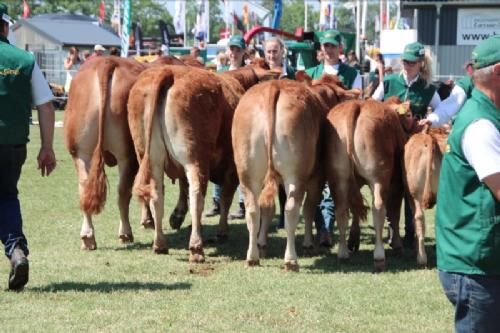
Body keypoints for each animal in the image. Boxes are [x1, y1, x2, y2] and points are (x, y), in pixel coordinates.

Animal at [129, 65, 278, 260]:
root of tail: (169, 71)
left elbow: (184, 188)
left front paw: (178, 217)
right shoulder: (232, 169)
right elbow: (225, 198)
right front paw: (222, 231)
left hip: (150, 158)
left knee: (156, 196)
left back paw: (160, 244)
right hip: (195, 158)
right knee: (196, 195)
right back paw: (196, 247)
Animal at [232, 74, 354, 270]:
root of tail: (273, 87)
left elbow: (268, 208)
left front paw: (262, 243)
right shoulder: (317, 177)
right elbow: (310, 208)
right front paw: (308, 244)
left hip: (247, 173)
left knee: (253, 209)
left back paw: (252, 257)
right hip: (295, 175)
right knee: (291, 209)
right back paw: (291, 260)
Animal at [324, 97, 410, 272]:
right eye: (409, 115)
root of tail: (357, 105)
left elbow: (356, 209)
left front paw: (353, 239)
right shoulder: (397, 183)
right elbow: (394, 213)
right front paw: (397, 244)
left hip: (339, 177)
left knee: (342, 210)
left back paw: (343, 254)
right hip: (378, 178)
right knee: (378, 208)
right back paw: (379, 257)